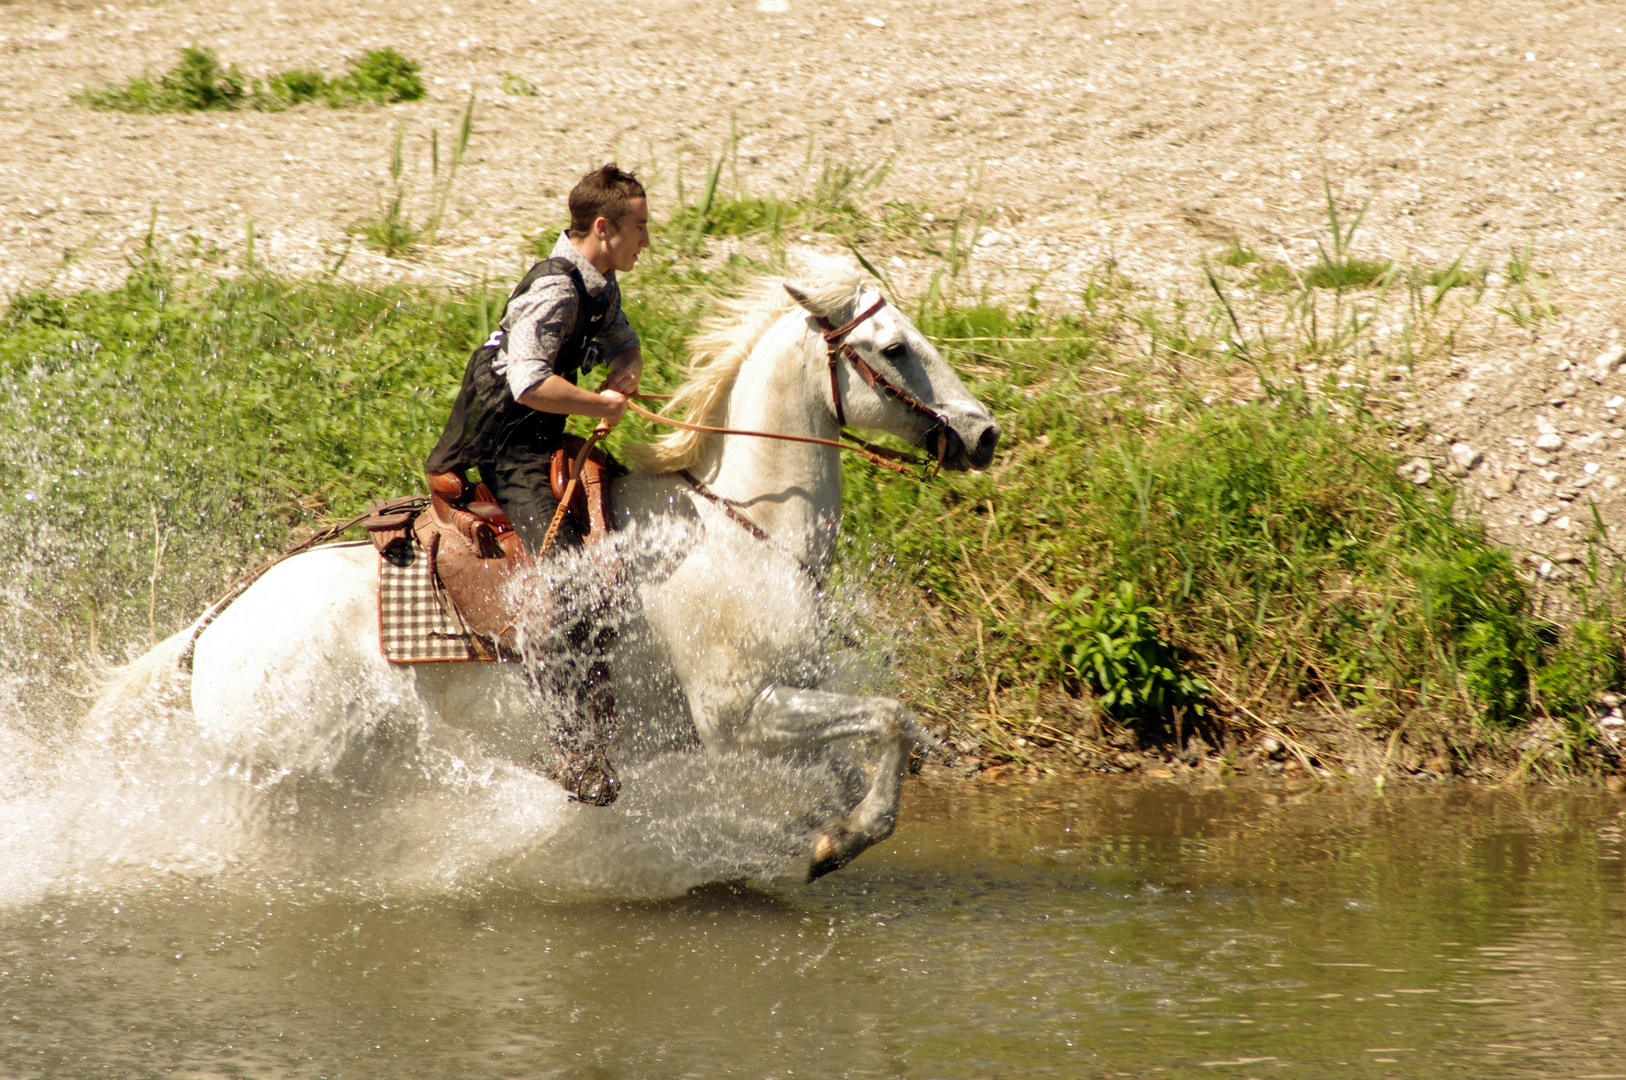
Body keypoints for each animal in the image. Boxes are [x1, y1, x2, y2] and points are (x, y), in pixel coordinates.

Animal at [89, 253, 1001, 884]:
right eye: (896, 347)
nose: (983, 432)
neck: (741, 526)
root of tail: (215, 630)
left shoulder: (782, 704)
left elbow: (869, 746)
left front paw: (825, 833)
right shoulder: (741, 712)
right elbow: (889, 721)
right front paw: (833, 844)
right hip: (298, 785)